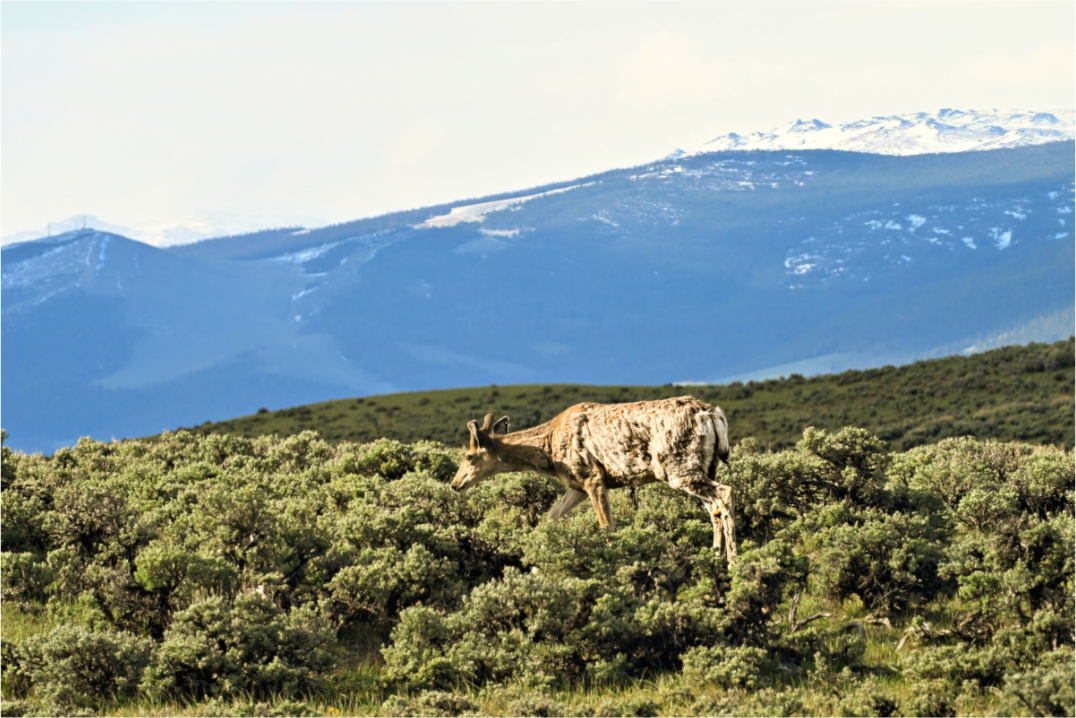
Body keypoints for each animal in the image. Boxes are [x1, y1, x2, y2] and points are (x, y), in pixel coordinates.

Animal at [450, 396, 737, 565]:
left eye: (469, 456)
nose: (455, 484)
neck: (549, 450)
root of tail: (713, 415)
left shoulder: (591, 475)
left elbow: (606, 527)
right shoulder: (576, 485)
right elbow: (551, 516)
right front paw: (539, 561)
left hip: (677, 465)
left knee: (725, 493)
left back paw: (733, 563)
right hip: (703, 466)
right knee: (714, 508)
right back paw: (715, 558)